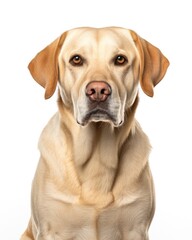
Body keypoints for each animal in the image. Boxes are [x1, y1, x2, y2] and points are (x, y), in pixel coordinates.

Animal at [20, 27, 169, 239]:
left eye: (120, 59)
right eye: (76, 59)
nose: (98, 90)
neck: (96, 156)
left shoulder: (136, 229)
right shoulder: (51, 230)